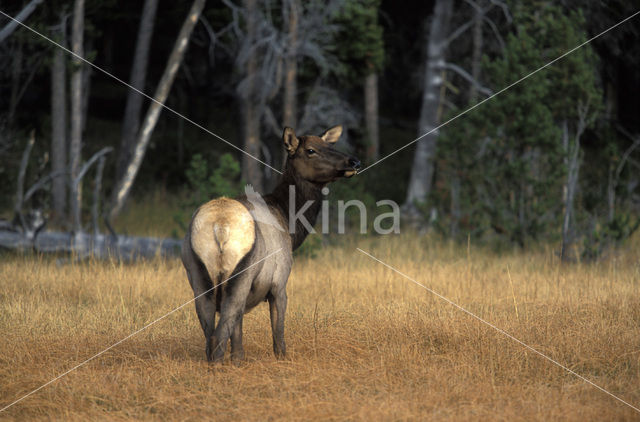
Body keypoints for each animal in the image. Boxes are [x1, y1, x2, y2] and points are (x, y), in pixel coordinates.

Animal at [181, 125, 360, 362]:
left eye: (329, 145)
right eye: (311, 150)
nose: (353, 162)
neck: (290, 224)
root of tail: (219, 225)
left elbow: (237, 338)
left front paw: (238, 361)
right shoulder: (279, 283)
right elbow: (278, 335)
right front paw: (282, 358)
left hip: (198, 276)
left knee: (210, 332)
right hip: (241, 274)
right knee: (220, 332)